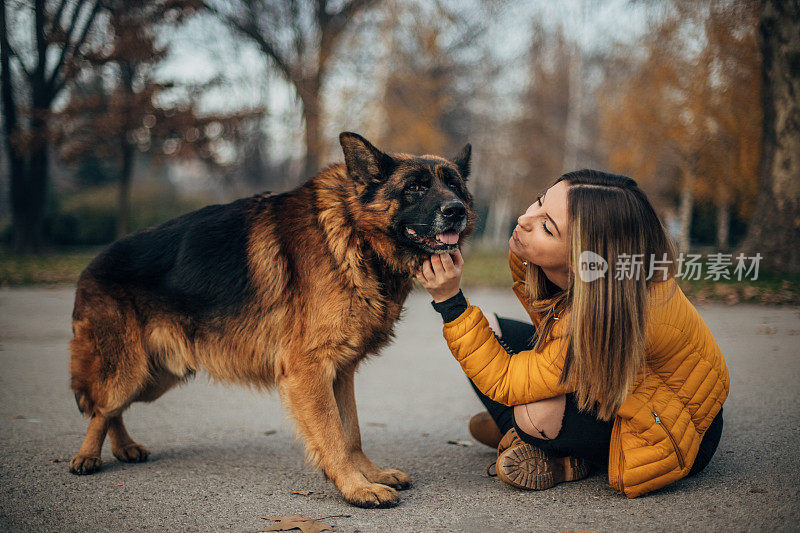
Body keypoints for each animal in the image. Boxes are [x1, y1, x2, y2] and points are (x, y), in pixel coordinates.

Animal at [67, 132, 476, 508]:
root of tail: (90, 265)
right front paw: (356, 487)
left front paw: (370, 475)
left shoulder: (339, 372)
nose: (456, 210)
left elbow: (352, 432)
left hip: (158, 374)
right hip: (132, 369)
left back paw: (124, 447)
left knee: (113, 409)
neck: (352, 233)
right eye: (415, 188)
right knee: (103, 407)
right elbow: (333, 435)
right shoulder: (309, 371)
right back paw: (87, 456)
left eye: (455, 186)